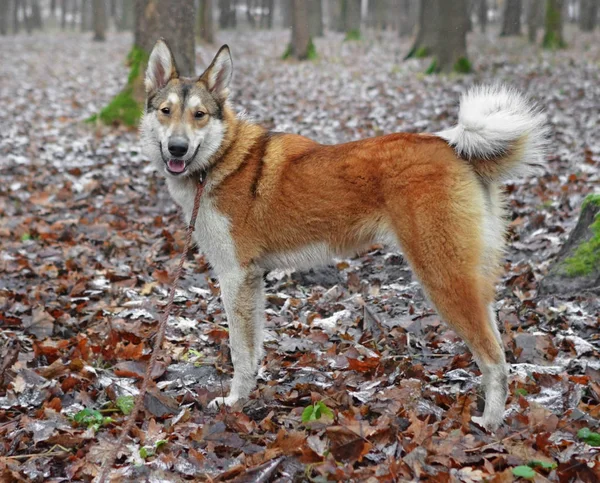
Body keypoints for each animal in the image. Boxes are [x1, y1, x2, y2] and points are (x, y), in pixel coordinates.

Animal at [139, 40, 548, 432]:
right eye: (166, 111)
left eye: (199, 115)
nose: (177, 147)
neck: (221, 161)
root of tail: (453, 147)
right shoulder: (252, 280)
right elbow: (253, 350)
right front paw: (250, 393)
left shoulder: (235, 277)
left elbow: (240, 350)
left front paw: (235, 401)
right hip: (471, 278)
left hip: (443, 278)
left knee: (494, 359)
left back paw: (489, 423)